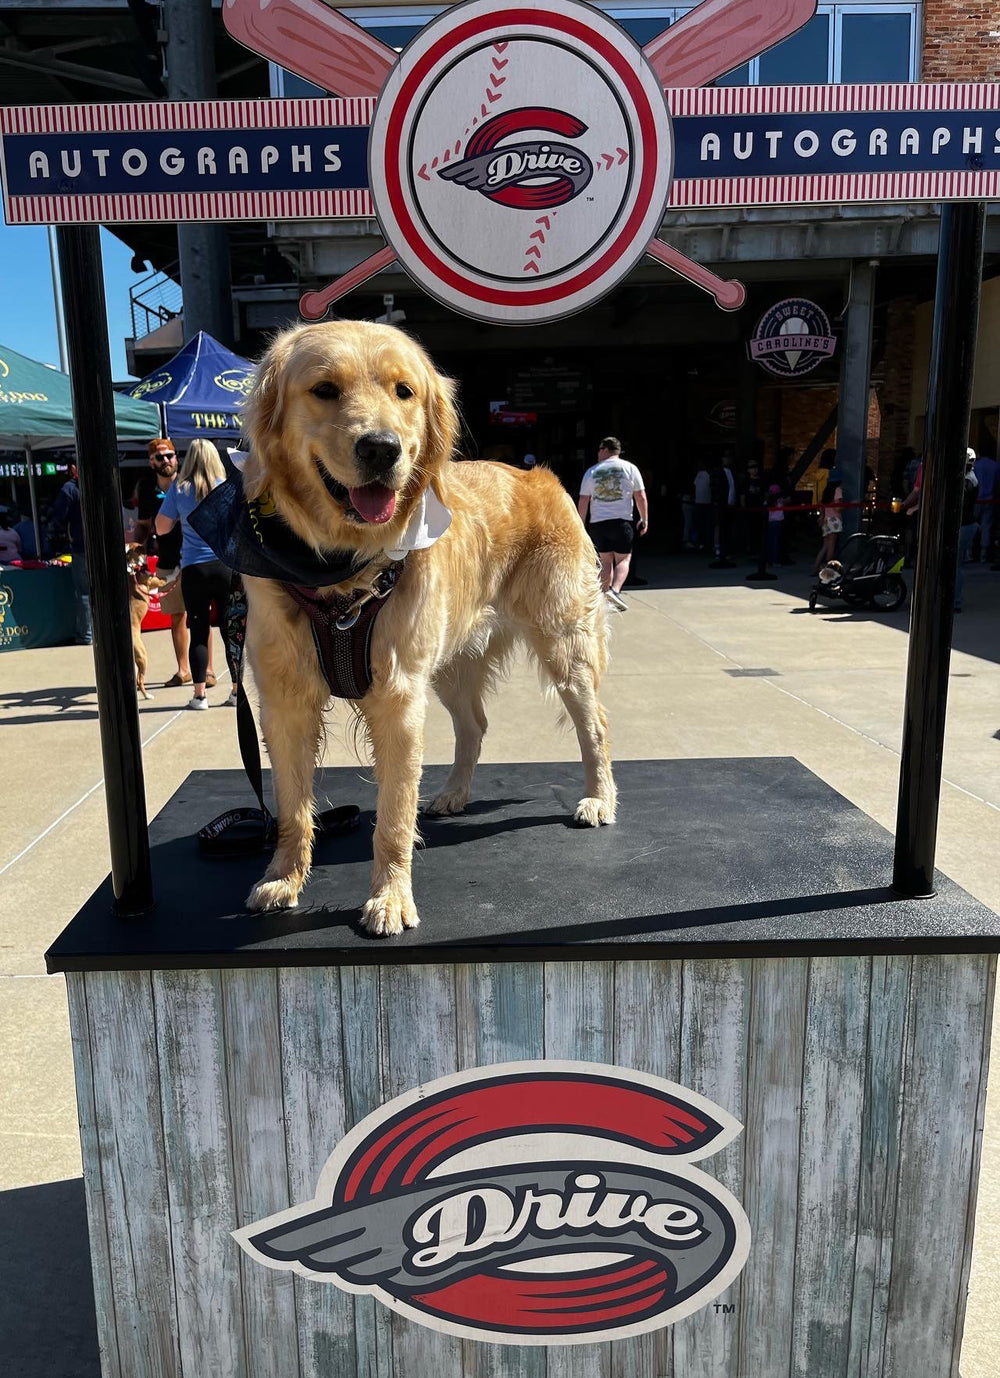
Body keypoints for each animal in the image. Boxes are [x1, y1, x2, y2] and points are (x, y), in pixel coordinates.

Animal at [125, 542, 166, 700]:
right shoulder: (156, 581)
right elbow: (166, 578)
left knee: (137, 679)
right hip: (143, 657)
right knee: (139, 680)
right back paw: (147, 695)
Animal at [242, 319, 619, 937]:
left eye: (404, 391)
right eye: (324, 389)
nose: (381, 448)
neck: (341, 568)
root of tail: (541, 475)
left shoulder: (398, 696)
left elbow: (392, 819)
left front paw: (390, 897)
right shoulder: (284, 700)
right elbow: (293, 807)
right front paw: (284, 877)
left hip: (565, 646)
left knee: (596, 728)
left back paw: (599, 799)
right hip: (450, 665)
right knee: (476, 725)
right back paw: (453, 793)